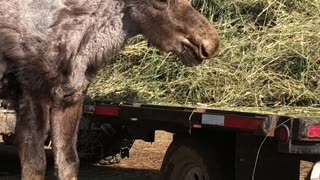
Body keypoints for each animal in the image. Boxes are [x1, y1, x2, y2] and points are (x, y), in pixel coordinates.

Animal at [0, 0, 220, 179]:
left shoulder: (71, 97)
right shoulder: (30, 92)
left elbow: (69, 162)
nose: (211, 44)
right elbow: (35, 166)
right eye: (161, 0)